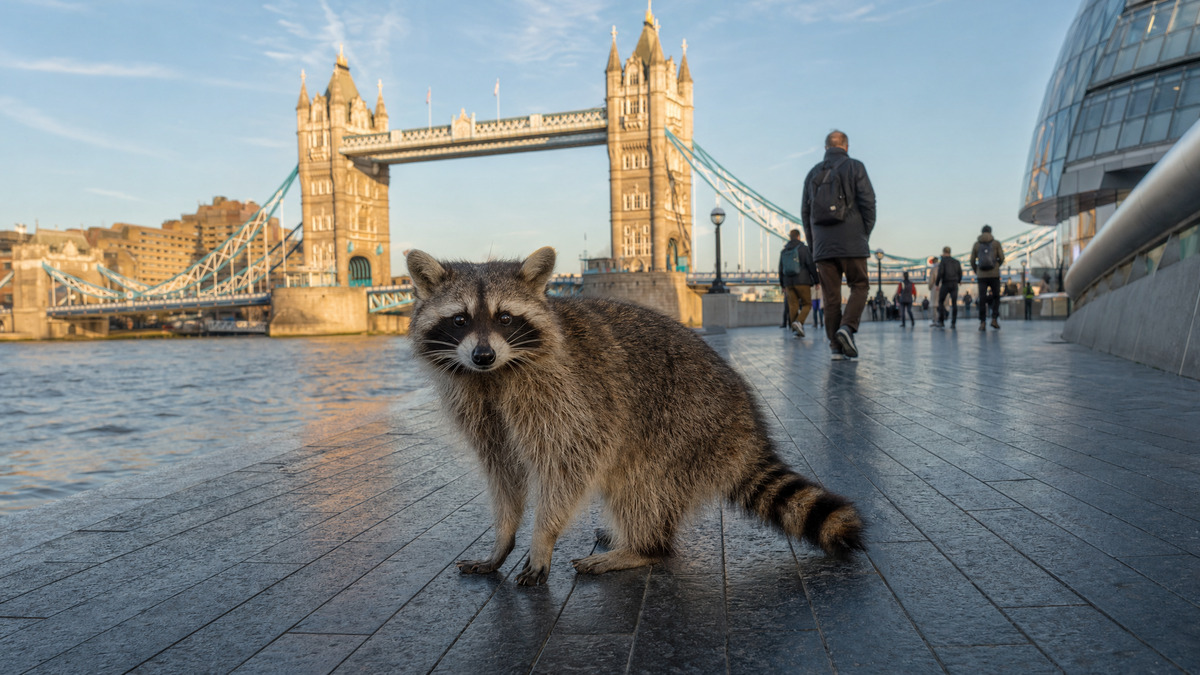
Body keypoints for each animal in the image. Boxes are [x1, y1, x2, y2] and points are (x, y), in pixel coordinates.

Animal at [406, 246, 864, 586]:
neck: (494, 377)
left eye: (505, 317)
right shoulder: (483, 414)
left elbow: (570, 465)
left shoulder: (571, 400)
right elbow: (504, 474)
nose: (482, 355)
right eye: (460, 319)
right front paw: (503, 537)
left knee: (642, 486)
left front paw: (542, 536)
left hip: (685, 426)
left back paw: (643, 548)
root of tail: (747, 427)